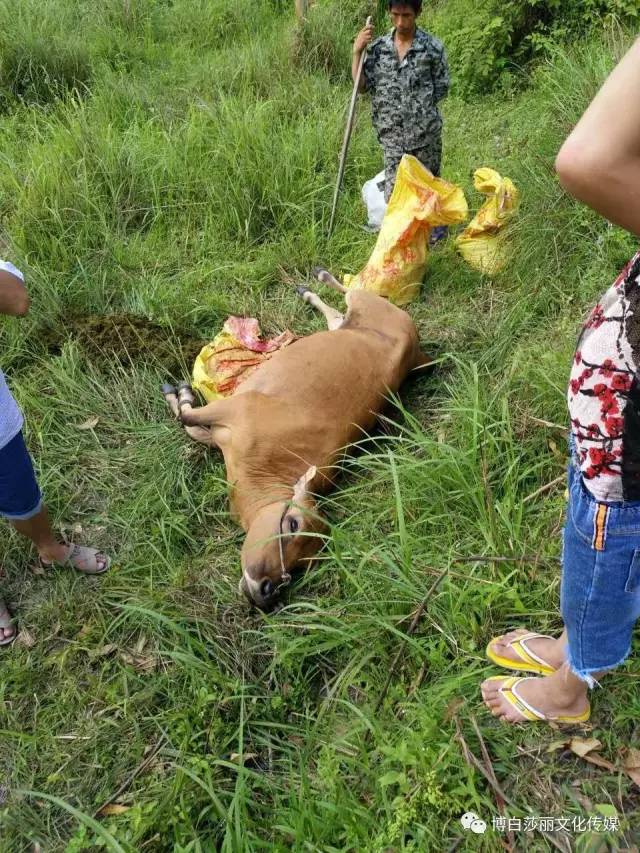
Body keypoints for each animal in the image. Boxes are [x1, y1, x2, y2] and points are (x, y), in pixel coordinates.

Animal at [161, 270, 430, 608]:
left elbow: (190, 425)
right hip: (368, 304)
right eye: (292, 524)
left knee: (337, 316)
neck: (259, 467)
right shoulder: (238, 407)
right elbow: (187, 419)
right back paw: (317, 279)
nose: (268, 589)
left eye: (305, 563)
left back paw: (309, 291)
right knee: (349, 293)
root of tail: (416, 350)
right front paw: (181, 391)